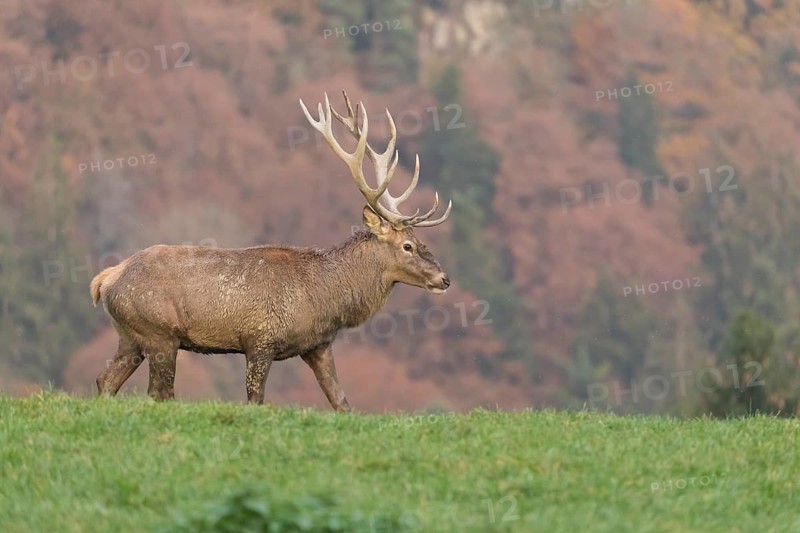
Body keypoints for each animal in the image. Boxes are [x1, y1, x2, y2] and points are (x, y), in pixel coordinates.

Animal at [90, 91, 452, 412]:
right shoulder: (259, 340)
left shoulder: (318, 345)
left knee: (105, 380)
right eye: (408, 245)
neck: (324, 297)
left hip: (130, 337)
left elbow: (342, 403)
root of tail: (105, 280)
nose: (444, 279)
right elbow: (256, 400)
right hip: (159, 332)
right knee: (158, 392)